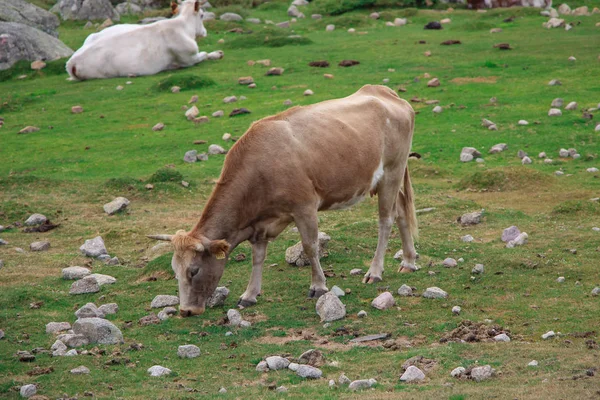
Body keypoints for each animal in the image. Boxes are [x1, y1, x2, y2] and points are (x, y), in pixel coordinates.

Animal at [67, 0, 223, 80]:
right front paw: (216, 54)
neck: (182, 27)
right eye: (202, 15)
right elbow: (205, 54)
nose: (205, 32)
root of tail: (71, 62)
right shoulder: (189, 58)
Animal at [149, 84, 418, 316]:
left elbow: (310, 246)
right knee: (402, 213)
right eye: (175, 271)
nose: (186, 311)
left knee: (386, 220)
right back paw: (408, 261)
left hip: (392, 172)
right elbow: (258, 257)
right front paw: (249, 294)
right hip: (390, 178)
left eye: (194, 271)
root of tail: (384, 92)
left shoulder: (305, 207)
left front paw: (318, 286)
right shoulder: (259, 224)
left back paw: (375, 271)